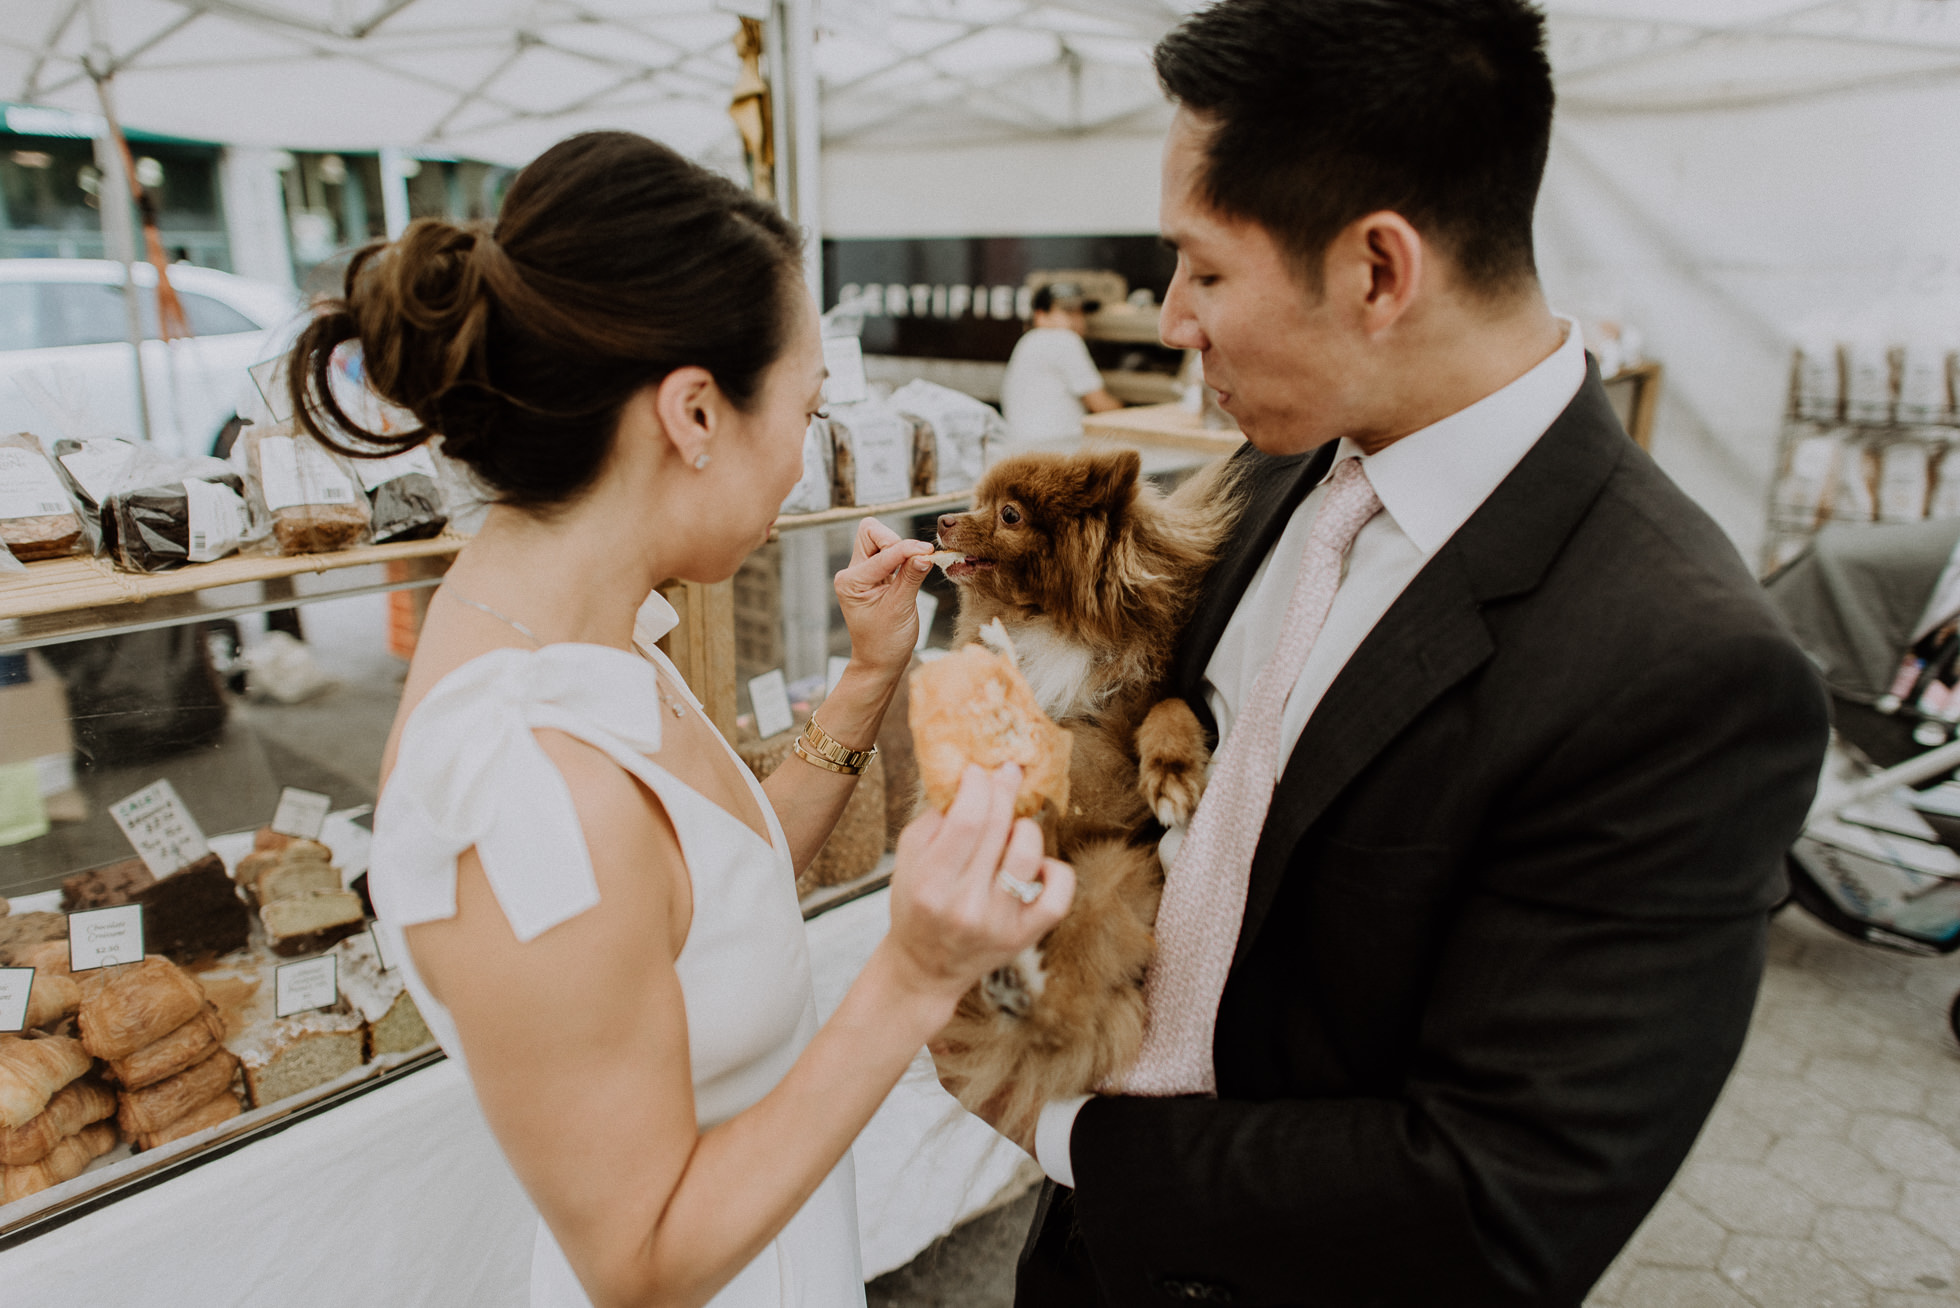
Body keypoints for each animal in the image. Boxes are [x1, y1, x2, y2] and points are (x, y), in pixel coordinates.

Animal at [921, 445, 1238, 1137]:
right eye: (978, 502)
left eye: (1009, 514)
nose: (943, 521)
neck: (1049, 623)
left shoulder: (1137, 703)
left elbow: (1167, 711)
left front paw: (1173, 773)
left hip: (1104, 885)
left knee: (1068, 1015)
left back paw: (1023, 994)